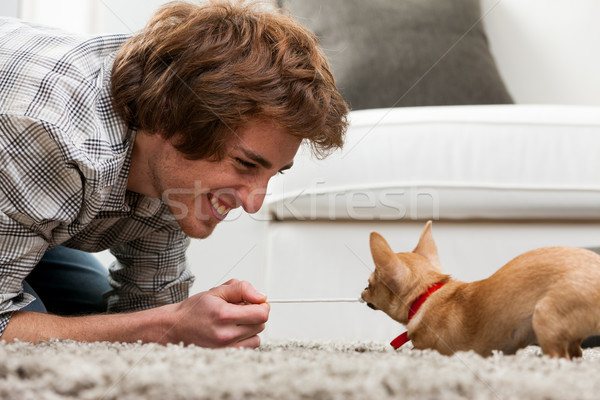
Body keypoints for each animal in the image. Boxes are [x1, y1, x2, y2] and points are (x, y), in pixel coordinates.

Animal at [364, 222, 600, 360]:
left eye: (368, 284)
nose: (362, 293)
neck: (427, 294)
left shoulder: (430, 348)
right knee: (576, 351)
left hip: (545, 316)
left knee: (560, 356)